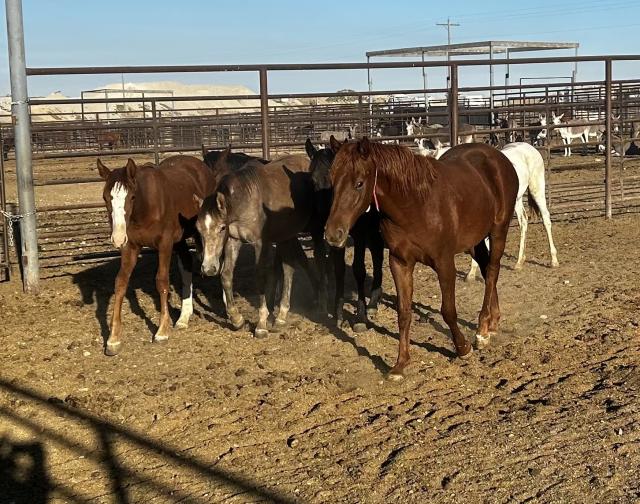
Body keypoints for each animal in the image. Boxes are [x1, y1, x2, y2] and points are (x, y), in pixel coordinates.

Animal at [97, 155, 217, 356]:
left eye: (132, 196)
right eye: (106, 197)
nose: (117, 238)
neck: (144, 208)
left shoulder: (165, 244)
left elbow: (161, 281)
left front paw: (162, 331)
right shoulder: (130, 246)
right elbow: (120, 282)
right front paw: (113, 339)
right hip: (180, 240)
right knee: (186, 264)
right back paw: (184, 317)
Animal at [195, 155, 322, 338]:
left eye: (222, 228)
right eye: (198, 229)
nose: (208, 268)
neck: (245, 199)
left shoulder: (260, 244)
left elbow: (260, 277)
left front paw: (261, 324)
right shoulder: (234, 240)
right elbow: (226, 275)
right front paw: (236, 319)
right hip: (287, 235)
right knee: (289, 267)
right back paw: (282, 315)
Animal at [305, 138, 384, 331]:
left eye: (329, 181)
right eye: (311, 179)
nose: (322, 217)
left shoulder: (360, 236)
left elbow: (359, 269)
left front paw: (361, 317)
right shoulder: (336, 240)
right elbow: (339, 269)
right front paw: (338, 313)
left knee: (378, 255)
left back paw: (373, 303)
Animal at [324, 138, 518, 379]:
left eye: (359, 183)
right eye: (332, 181)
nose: (333, 234)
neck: (415, 205)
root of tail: (499, 157)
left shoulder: (444, 263)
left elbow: (448, 310)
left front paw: (463, 348)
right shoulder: (400, 263)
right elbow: (404, 313)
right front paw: (400, 364)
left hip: (498, 229)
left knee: (492, 271)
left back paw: (482, 330)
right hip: (474, 241)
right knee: (485, 268)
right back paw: (493, 322)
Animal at [466, 142, 559, 281]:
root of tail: (529, 147)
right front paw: (471, 273)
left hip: (537, 188)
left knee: (546, 218)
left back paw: (554, 261)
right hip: (517, 199)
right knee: (523, 221)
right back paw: (519, 262)